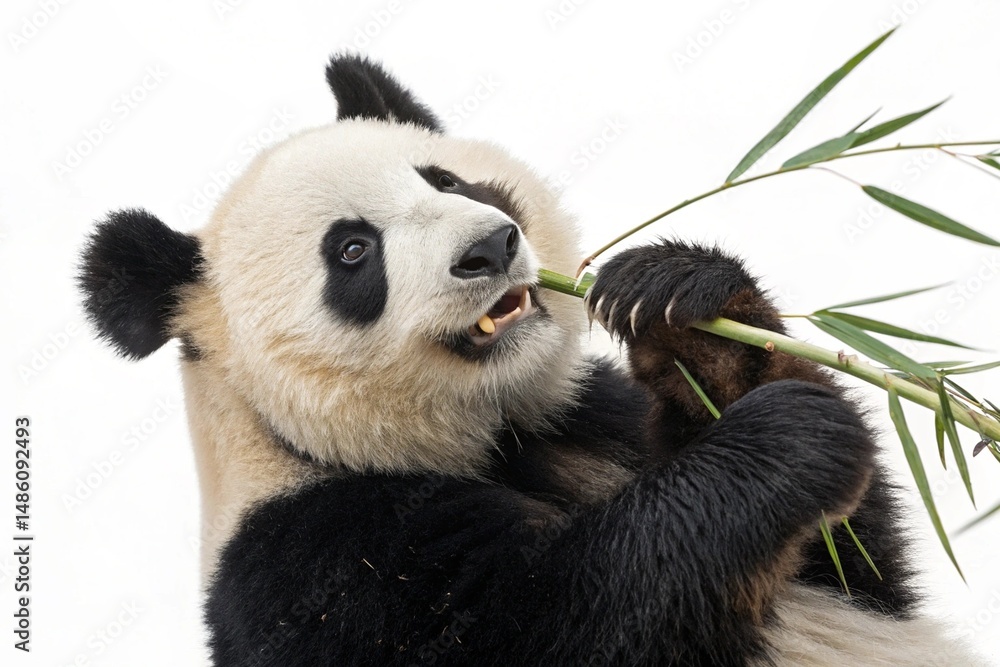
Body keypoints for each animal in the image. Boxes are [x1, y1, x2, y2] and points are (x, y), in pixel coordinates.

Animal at [78, 55, 982, 666]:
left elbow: (857, 569)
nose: (490, 247)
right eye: (353, 250)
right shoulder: (317, 560)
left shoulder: (590, 414)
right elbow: (580, 616)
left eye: (446, 179)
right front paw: (783, 441)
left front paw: (688, 312)